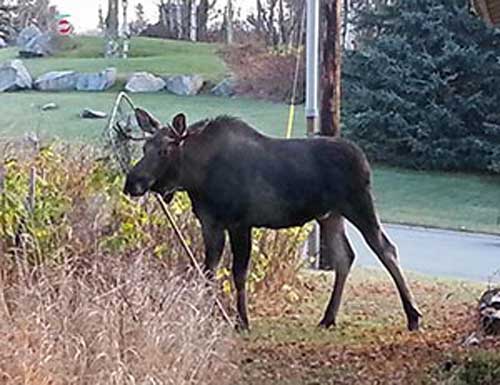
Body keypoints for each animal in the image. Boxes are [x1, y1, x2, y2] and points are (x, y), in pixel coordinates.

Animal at [124, 107, 422, 330]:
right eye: (145, 147)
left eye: (164, 150)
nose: (131, 182)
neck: (195, 177)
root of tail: (364, 159)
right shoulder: (210, 224)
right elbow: (208, 270)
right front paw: (203, 314)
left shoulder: (240, 223)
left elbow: (238, 273)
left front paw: (242, 321)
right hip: (330, 215)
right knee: (345, 257)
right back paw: (328, 318)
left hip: (358, 204)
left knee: (385, 248)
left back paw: (413, 315)